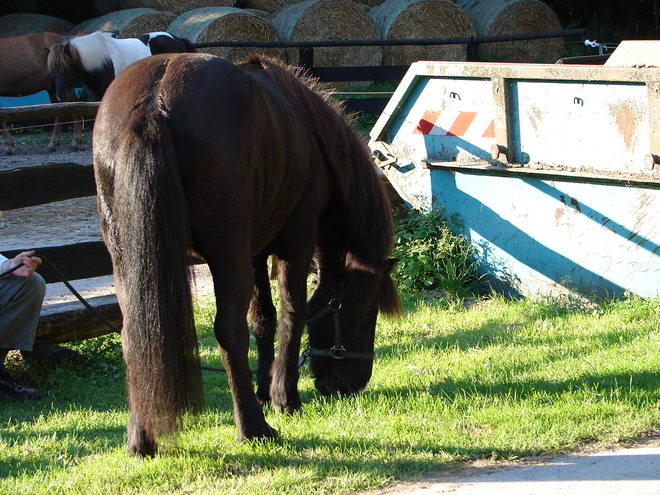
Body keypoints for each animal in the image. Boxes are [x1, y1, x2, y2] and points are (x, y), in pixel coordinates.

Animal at [93, 53, 402, 458]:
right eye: (365, 312)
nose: (353, 383)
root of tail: (154, 103)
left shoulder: (256, 252)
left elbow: (264, 319)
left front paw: (265, 389)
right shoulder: (295, 243)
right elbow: (292, 314)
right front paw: (284, 398)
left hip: (127, 258)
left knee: (134, 337)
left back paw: (142, 439)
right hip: (226, 253)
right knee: (229, 331)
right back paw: (254, 428)